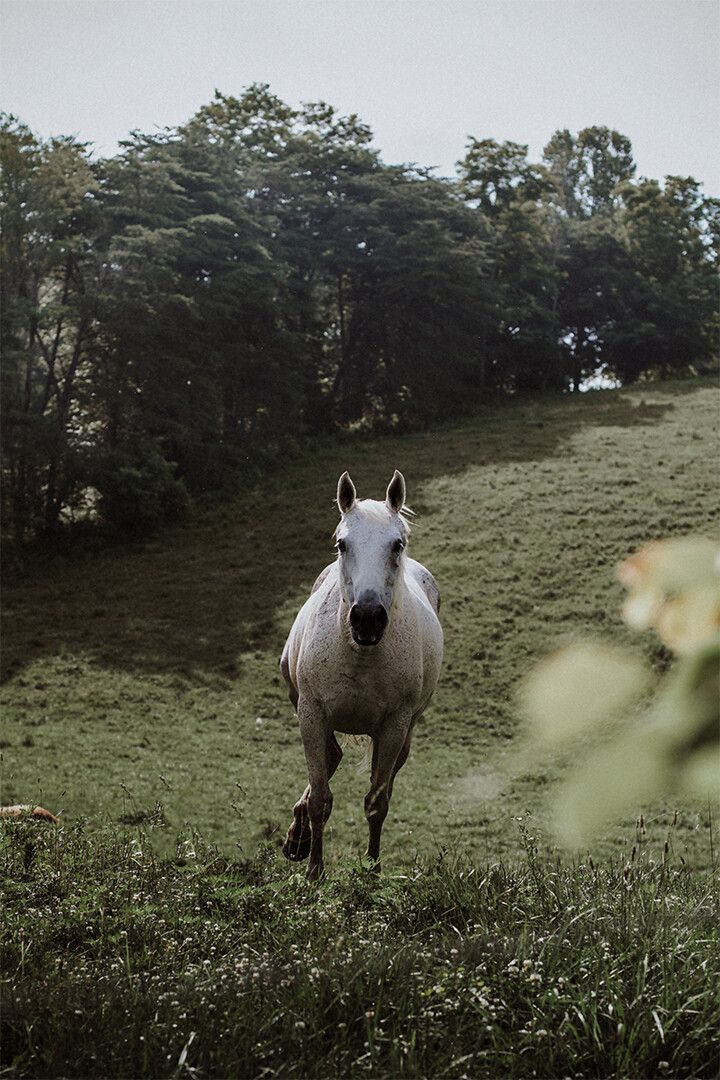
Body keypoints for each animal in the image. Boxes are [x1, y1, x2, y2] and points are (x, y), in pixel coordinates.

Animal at [280, 469, 443, 880]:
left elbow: (376, 802)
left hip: (404, 732)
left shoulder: (393, 727)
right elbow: (320, 798)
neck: (360, 655)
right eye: (342, 544)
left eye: (397, 544)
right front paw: (314, 872)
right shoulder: (312, 712)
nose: (367, 618)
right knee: (330, 759)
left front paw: (372, 870)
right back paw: (298, 839)